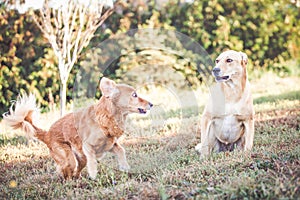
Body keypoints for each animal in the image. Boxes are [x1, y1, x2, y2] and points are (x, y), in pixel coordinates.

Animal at [2, 77, 152, 180]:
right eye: (134, 95)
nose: (151, 104)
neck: (105, 117)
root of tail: (47, 134)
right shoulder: (88, 146)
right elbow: (93, 160)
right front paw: (93, 174)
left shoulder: (110, 145)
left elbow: (121, 150)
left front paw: (125, 167)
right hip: (68, 157)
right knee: (66, 172)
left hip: (80, 159)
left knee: (75, 171)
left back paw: (77, 179)